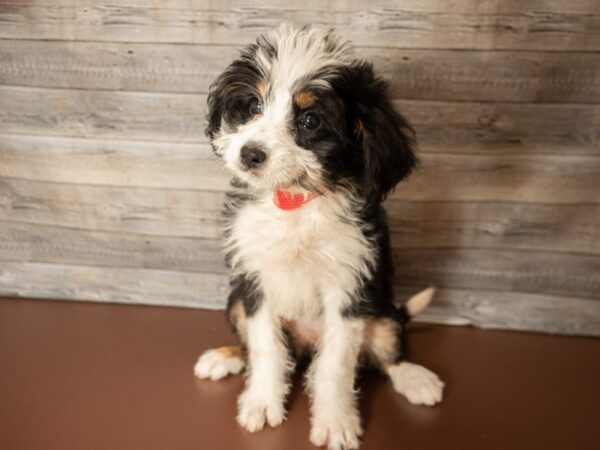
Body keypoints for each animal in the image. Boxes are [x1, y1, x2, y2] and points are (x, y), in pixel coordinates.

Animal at [194, 24, 444, 450]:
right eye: (252, 105)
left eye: (310, 120)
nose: (249, 154)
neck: (295, 201)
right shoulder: (256, 280)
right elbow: (265, 348)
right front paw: (262, 402)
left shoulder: (348, 285)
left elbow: (337, 365)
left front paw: (336, 421)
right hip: (235, 301)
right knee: (253, 344)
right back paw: (223, 356)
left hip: (380, 312)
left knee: (389, 348)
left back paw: (415, 378)